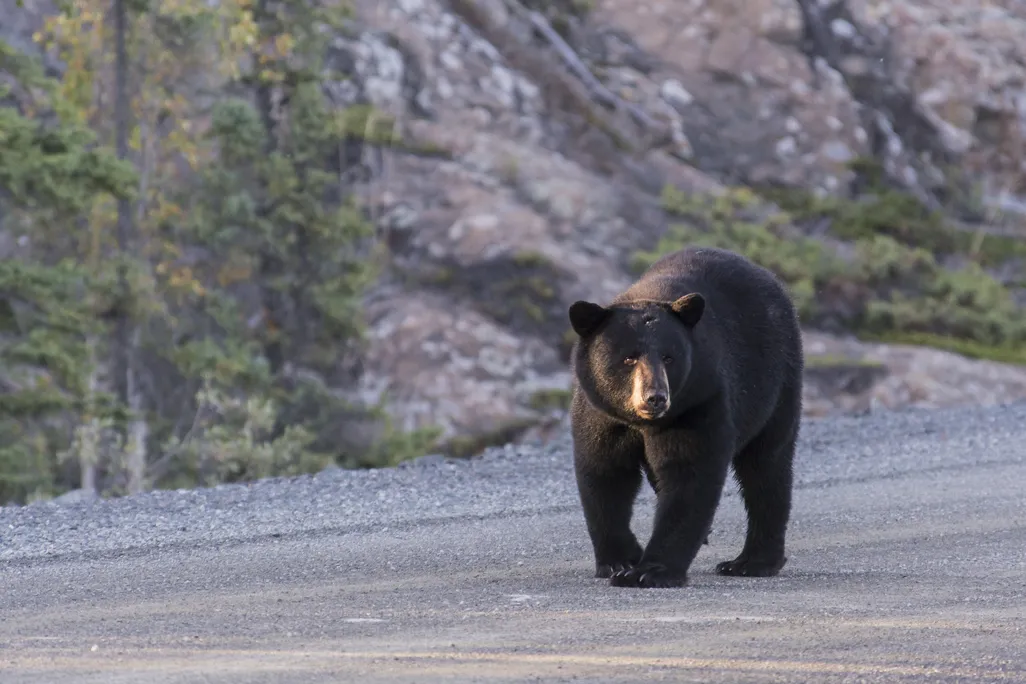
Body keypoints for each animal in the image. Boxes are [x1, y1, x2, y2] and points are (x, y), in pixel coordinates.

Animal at [567, 246, 803, 588]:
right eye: (629, 357)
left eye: (669, 357)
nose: (655, 397)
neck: (641, 423)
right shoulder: (600, 412)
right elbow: (604, 472)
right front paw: (619, 560)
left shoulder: (698, 400)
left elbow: (688, 473)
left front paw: (650, 570)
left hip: (777, 383)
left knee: (766, 467)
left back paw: (752, 562)